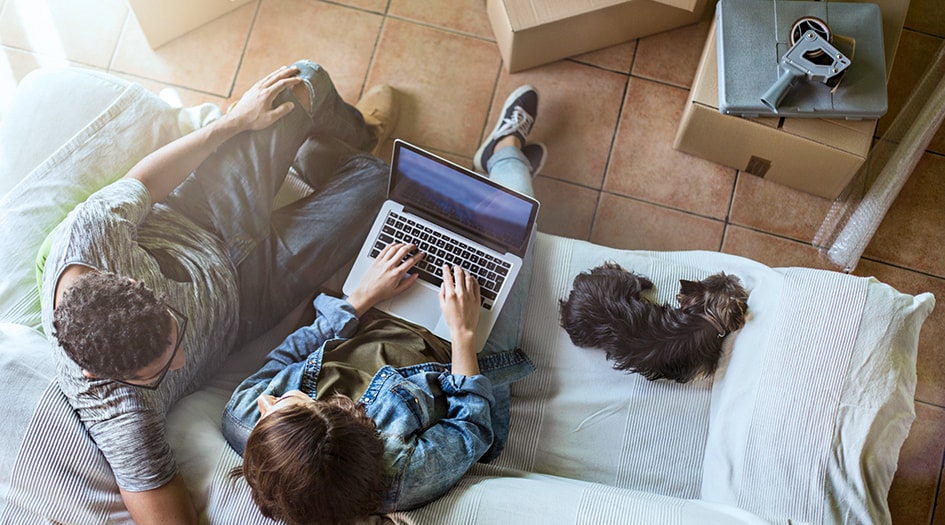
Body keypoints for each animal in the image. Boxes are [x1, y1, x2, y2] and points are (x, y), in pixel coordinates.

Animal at [556, 262, 748, 380]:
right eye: (729, 279)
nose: (732, 275)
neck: (708, 316)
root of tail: (579, 290)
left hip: (617, 281)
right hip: (582, 330)